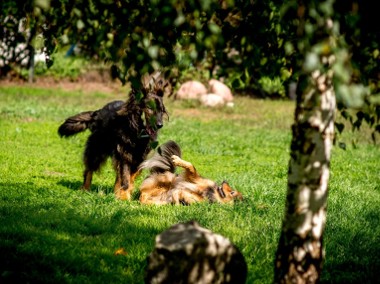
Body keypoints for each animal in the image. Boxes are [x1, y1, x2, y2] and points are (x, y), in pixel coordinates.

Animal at [57, 71, 168, 200]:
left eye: (161, 110)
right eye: (150, 108)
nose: (160, 125)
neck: (136, 129)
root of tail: (98, 112)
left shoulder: (139, 157)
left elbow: (130, 176)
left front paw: (124, 193)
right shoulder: (124, 153)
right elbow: (125, 177)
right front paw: (124, 197)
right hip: (97, 148)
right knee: (89, 169)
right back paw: (85, 188)